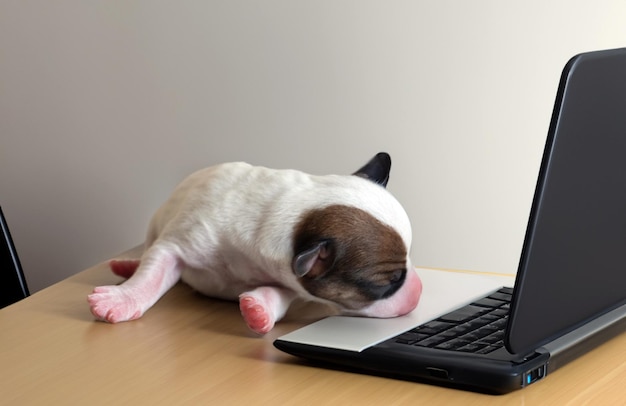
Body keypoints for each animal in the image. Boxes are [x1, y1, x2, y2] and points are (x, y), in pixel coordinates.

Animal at [86, 152, 420, 334]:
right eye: (389, 282)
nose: (418, 291)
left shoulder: (290, 277)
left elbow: (281, 294)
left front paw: (259, 310)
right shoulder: (178, 244)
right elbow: (153, 275)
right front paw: (122, 300)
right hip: (156, 223)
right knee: (146, 253)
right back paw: (127, 265)